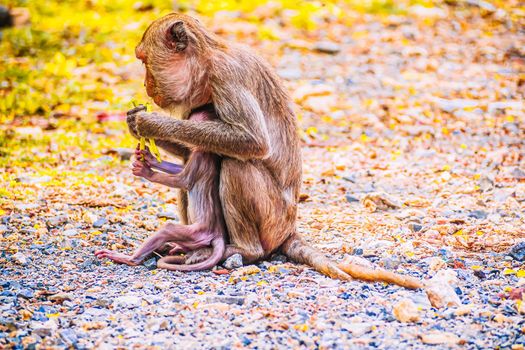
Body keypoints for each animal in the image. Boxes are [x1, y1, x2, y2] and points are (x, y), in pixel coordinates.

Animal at [94, 105, 225, 272]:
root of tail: (218, 234)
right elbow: (180, 171)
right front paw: (150, 158)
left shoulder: (200, 154)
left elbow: (183, 181)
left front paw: (147, 172)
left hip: (198, 233)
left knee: (168, 228)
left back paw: (130, 259)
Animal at [118, 12, 422, 288]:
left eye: (144, 61)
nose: (146, 85)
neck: (206, 62)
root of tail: (289, 230)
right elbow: (188, 154)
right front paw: (135, 124)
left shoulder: (226, 77)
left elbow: (252, 141)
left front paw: (150, 123)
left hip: (272, 219)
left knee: (237, 164)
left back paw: (241, 250)